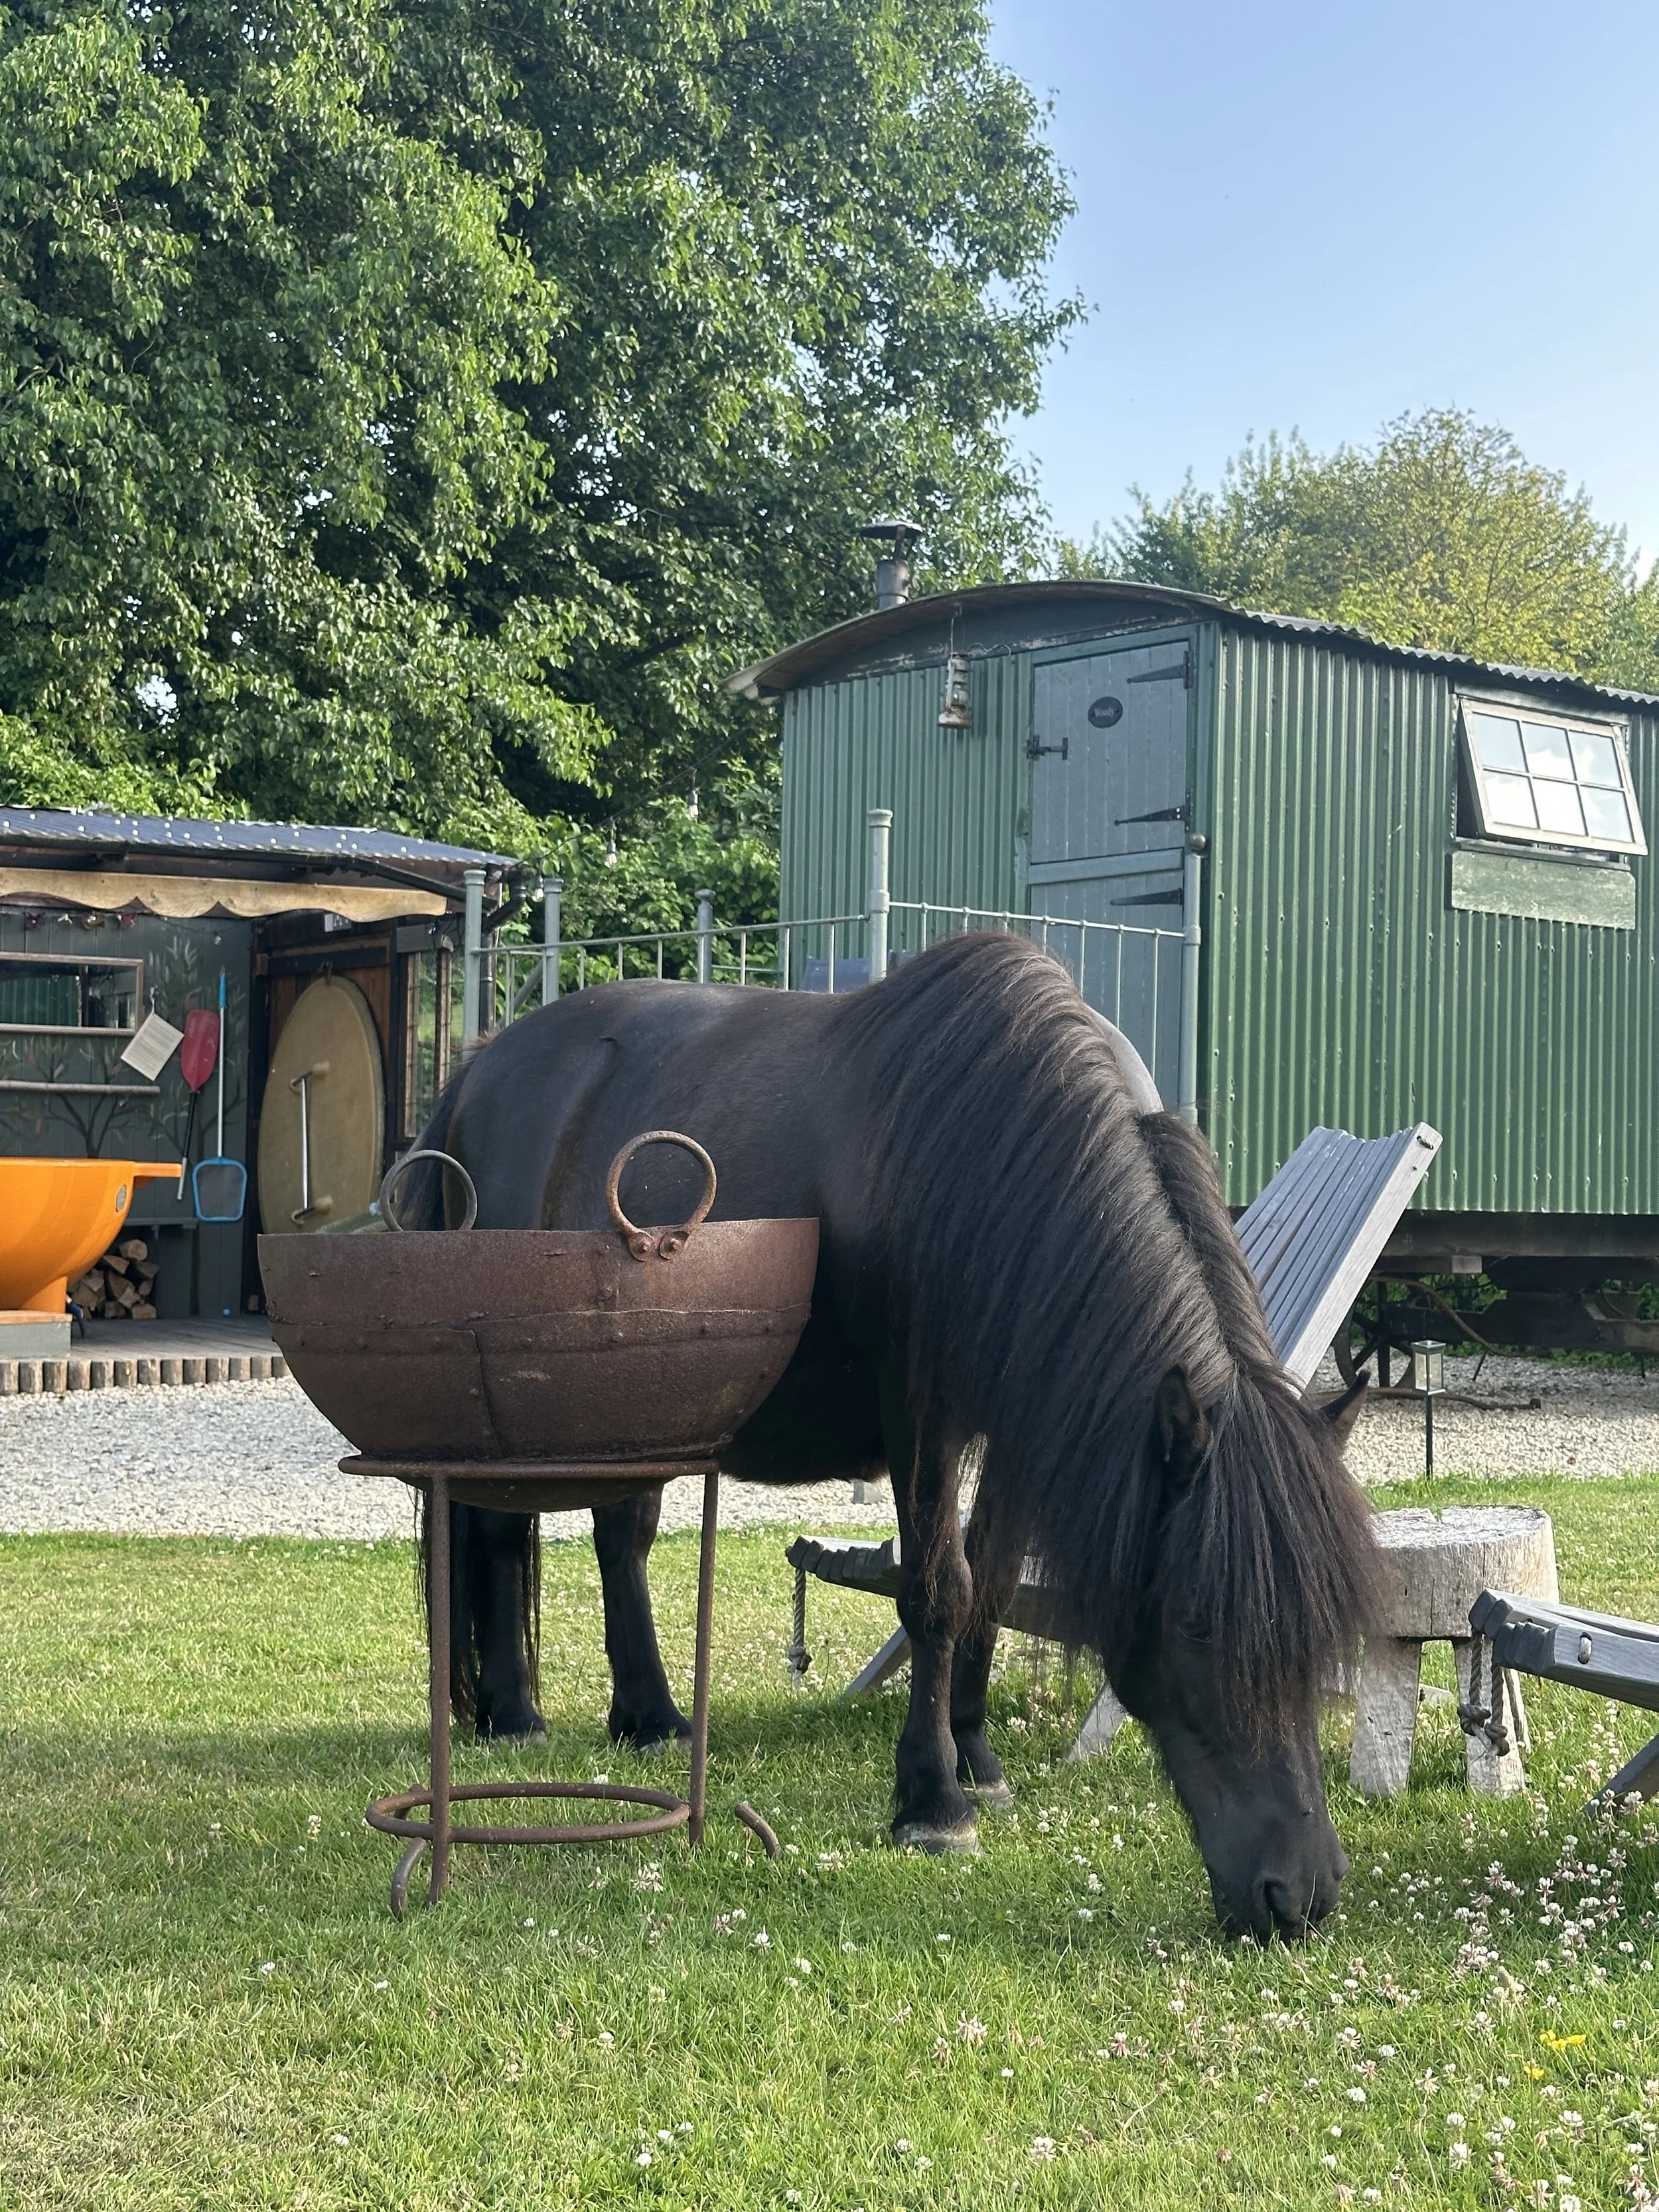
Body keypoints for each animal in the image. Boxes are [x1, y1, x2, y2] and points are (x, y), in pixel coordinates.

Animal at [401, 931, 1379, 1939]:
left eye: (1328, 1625)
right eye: (1194, 1622)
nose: (1299, 1893)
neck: (998, 1153)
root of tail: (478, 1068)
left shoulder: (1021, 1424)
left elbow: (994, 1581)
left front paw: (976, 1757)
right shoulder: (922, 1415)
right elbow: (939, 1590)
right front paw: (932, 1802)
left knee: (617, 1538)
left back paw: (651, 1717)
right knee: (500, 1531)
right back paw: (517, 1712)